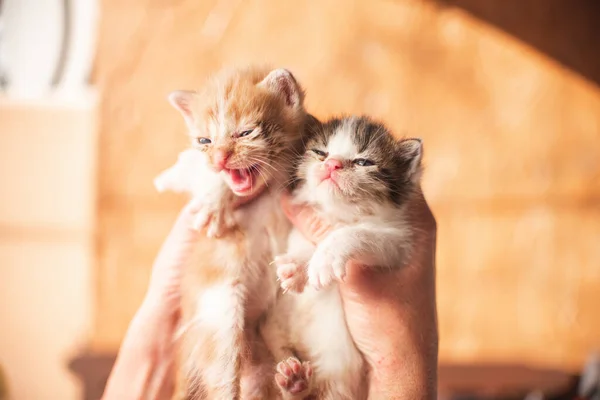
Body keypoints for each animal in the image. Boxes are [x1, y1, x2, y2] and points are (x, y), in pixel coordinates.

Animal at [162, 67, 314, 398]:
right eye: (204, 140)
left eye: (245, 133)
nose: (220, 158)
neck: (270, 188)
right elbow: (199, 174)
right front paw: (214, 200)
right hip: (220, 311)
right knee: (222, 372)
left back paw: (294, 380)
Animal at [262, 115, 422, 400]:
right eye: (320, 152)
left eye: (363, 162)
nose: (332, 164)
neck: (340, 214)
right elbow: (304, 244)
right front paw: (297, 267)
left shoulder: (397, 244)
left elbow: (355, 233)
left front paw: (325, 257)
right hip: (275, 329)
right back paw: (293, 380)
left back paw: (297, 381)